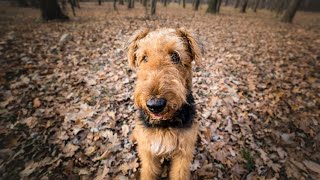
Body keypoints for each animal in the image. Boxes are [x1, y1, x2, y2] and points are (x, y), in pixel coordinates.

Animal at [126, 27, 201, 179]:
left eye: (175, 56)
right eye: (144, 58)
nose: (155, 105)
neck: (165, 125)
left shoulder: (183, 153)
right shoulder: (148, 152)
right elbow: (148, 172)